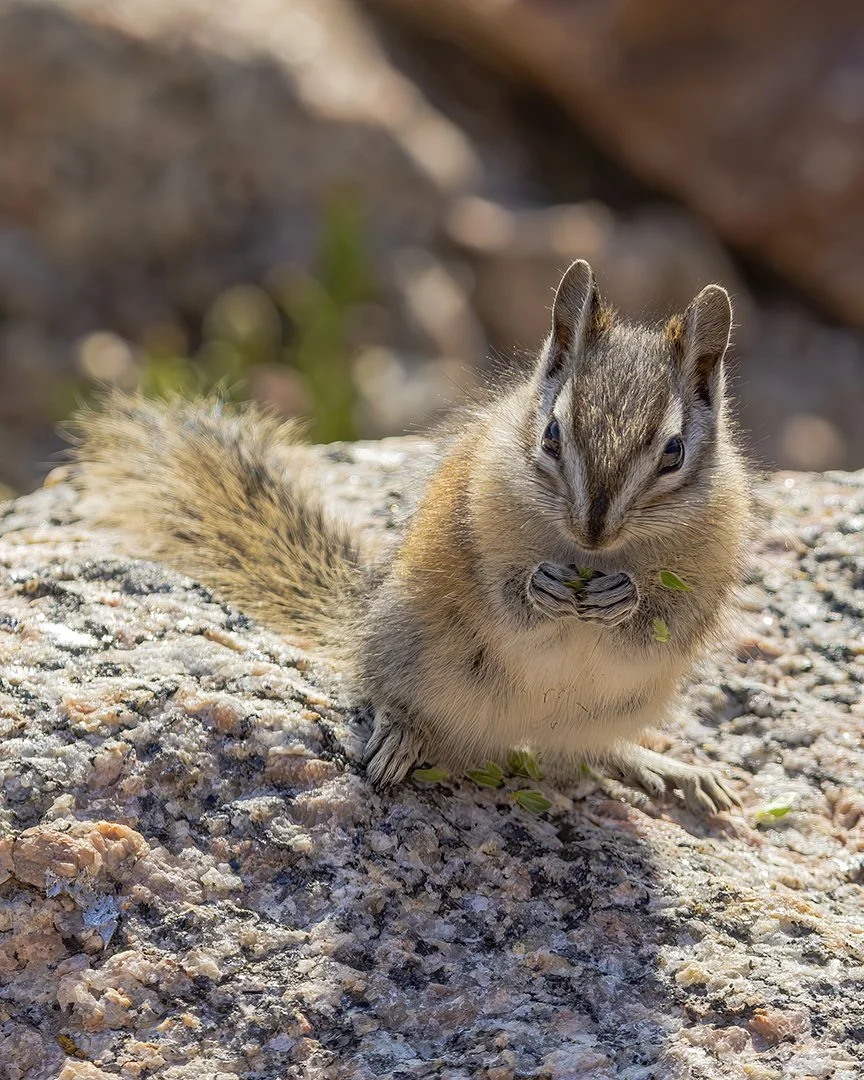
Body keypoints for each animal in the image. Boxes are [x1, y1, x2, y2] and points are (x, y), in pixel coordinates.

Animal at [72, 259, 750, 814]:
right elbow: (506, 599)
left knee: (585, 750)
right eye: (552, 436)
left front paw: (622, 596)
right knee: (391, 694)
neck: (591, 553)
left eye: (673, 452)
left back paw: (663, 766)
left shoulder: (705, 575)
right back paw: (402, 736)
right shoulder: (479, 526)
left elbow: (664, 618)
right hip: (411, 639)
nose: (593, 531)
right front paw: (545, 589)